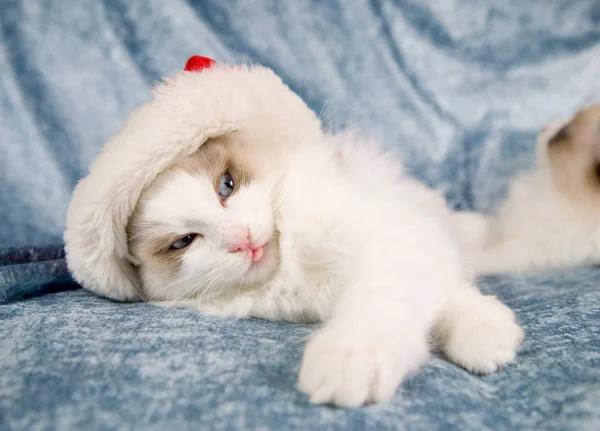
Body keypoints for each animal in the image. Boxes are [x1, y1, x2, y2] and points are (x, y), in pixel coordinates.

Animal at [129, 128, 524, 408]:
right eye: (184, 242)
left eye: (226, 186)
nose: (242, 239)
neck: (290, 264)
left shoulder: (394, 237)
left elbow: (384, 301)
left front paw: (352, 355)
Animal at [454, 104, 600, 274]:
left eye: (564, 133)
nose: (545, 126)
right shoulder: (503, 226)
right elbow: (473, 222)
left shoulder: (522, 254)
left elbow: (471, 256)